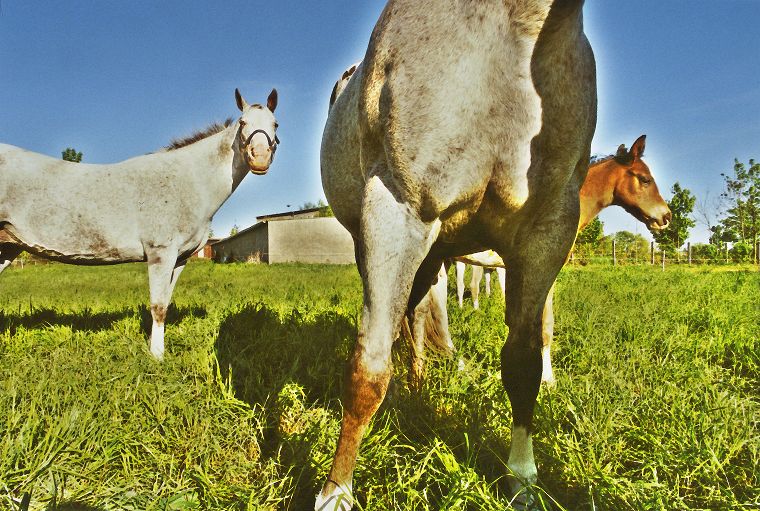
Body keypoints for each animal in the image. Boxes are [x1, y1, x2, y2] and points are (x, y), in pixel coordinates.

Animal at [0, 88, 279, 360]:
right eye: (243, 122)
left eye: (275, 124)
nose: (260, 158)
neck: (188, 180)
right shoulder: (160, 254)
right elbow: (158, 307)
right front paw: (157, 357)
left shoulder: (179, 259)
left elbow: (165, 303)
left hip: (7, 247)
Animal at [319, 1, 597, 508]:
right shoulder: (396, 207)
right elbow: (368, 365)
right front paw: (336, 491)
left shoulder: (547, 231)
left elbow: (524, 363)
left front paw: (522, 480)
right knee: (398, 322)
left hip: (437, 252)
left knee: (415, 315)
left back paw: (418, 382)